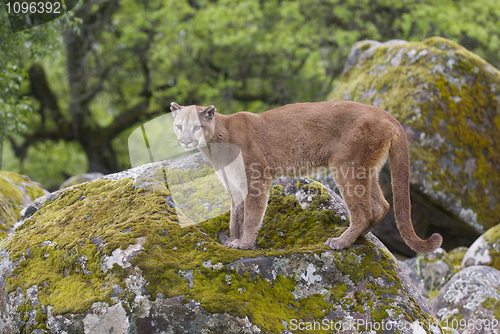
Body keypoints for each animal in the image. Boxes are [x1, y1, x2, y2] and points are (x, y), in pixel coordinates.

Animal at [171, 101, 442, 253]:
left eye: (196, 126)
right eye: (179, 125)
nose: (184, 140)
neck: (215, 144)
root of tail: (388, 115)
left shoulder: (257, 178)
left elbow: (251, 216)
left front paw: (244, 244)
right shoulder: (234, 185)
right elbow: (235, 216)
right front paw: (232, 240)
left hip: (346, 165)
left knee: (365, 210)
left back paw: (341, 242)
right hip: (365, 168)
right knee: (381, 205)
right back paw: (359, 237)